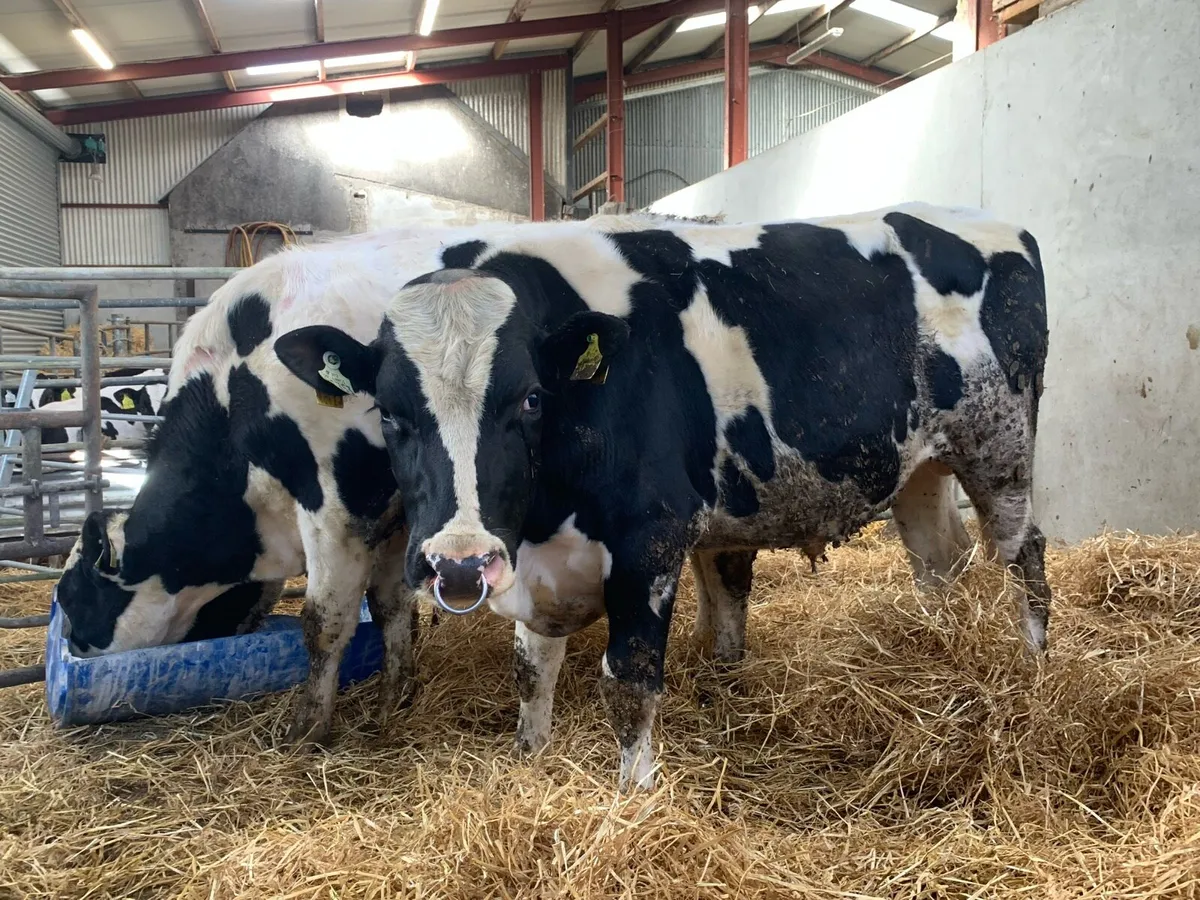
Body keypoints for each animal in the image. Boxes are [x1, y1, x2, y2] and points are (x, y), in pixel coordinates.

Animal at [274, 202, 1051, 790]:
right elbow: (531, 672)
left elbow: (630, 681)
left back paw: (1034, 667)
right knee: (939, 564)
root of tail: (994, 222)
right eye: (390, 414)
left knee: (1024, 555)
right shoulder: (537, 565)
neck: (543, 514)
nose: (460, 564)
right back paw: (941, 659)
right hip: (919, 466)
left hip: (1001, 448)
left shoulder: (649, 541)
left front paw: (632, 796)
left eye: (530, 398)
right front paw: (530, 760)